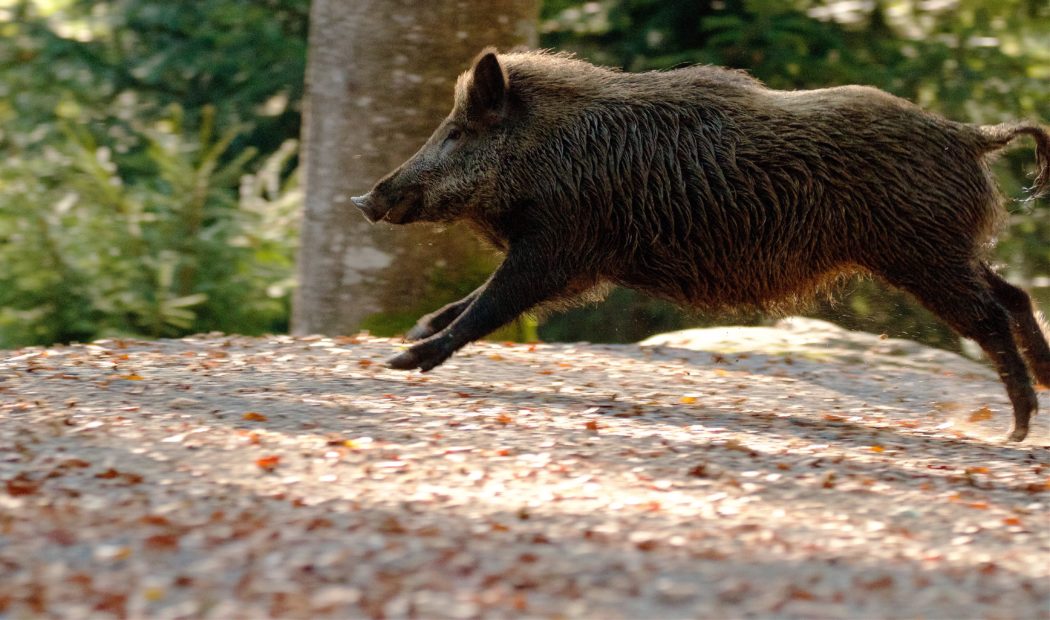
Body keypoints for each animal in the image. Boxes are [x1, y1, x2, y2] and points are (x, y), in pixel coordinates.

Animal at [351, 48, 1050, 442]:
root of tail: (968, 135)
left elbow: (490, 304)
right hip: (942, 250)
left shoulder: (560, 246)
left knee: (989, 314)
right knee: (1013, 293)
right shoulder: (579, 265)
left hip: (921, 254)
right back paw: (1039, 391)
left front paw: (401, 359)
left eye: (459, 132)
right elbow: (477, 302)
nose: (366, 199)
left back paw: (1016, 431)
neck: (552, 152)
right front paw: (413, 331)